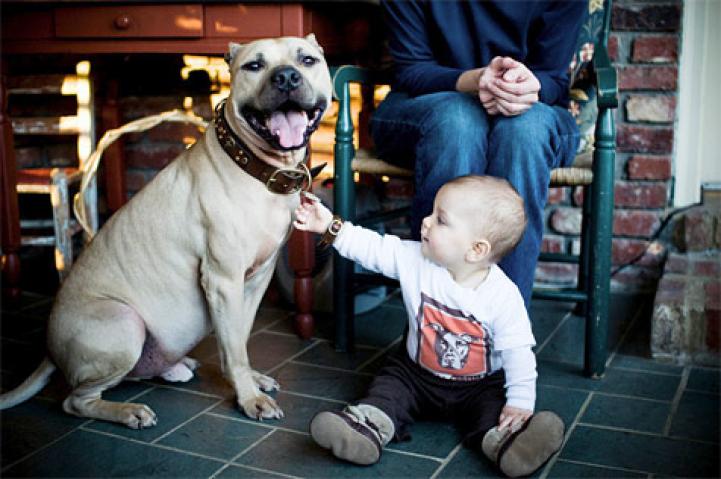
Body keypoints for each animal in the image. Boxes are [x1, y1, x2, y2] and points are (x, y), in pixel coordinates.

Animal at [0, 35, 332, 430]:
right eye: (255, 66)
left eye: (307, 60)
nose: (285, 77)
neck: (254, 166)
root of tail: (50, 350)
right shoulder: (223, 280)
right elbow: (233, 348)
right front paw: (249, 398)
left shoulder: (254, 281)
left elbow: (240, 337)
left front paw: (251, 380)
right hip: (124, 324)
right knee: (76, 400)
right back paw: (128, 412)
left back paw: (176, 366)